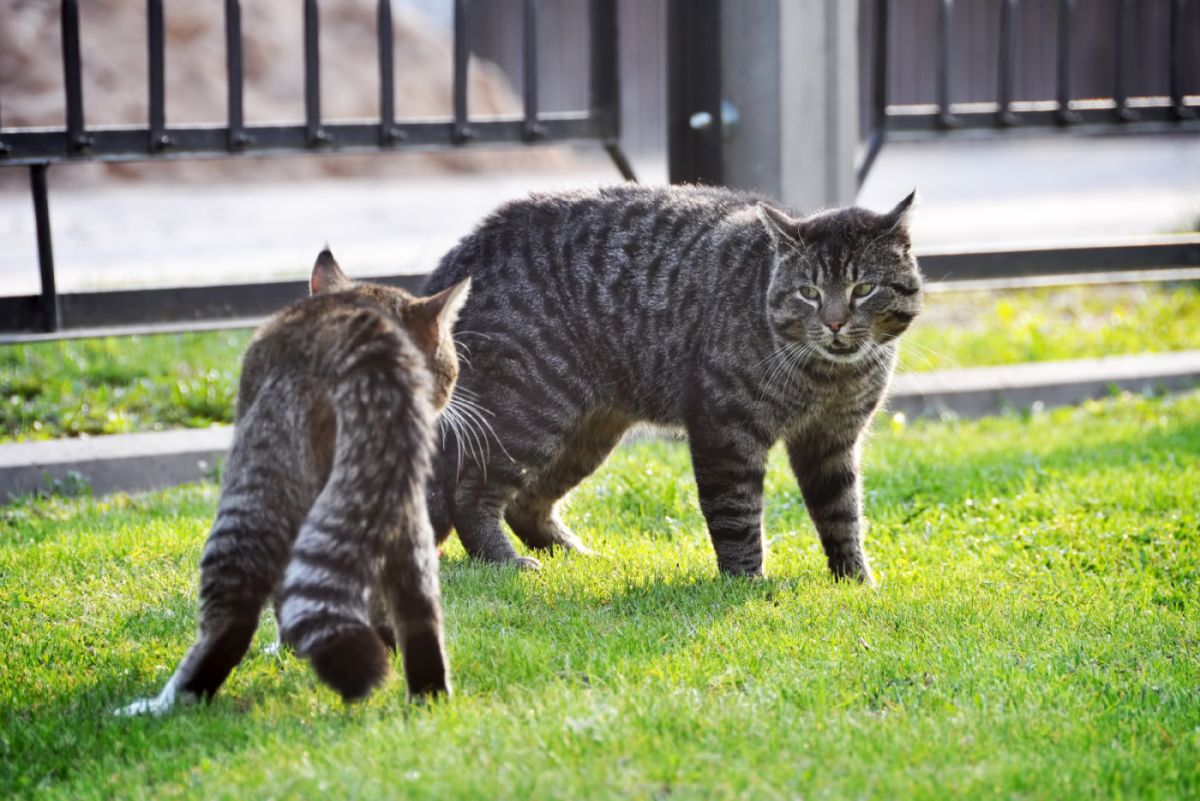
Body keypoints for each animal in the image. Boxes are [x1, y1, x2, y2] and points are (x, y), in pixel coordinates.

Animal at [118, 250, 468, 714]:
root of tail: (364, 342)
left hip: (259, 484)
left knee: (233, 618)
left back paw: (169, 702)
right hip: (394, 503)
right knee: (419, 608)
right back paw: (428, 692)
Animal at [422, 183, 916, 582]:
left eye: (863, 289)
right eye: (808, 292)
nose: (834, 322)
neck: (830, 377)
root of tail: (473, 242)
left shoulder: (831, 440)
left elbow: (842, 514)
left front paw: (856, 581)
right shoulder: (725, 430)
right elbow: (735, 513)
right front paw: (746, 583)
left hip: (585, 433)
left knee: (526, 503)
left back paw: (574, 554)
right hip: (528, 412)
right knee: (469, 495)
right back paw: (503, 562)